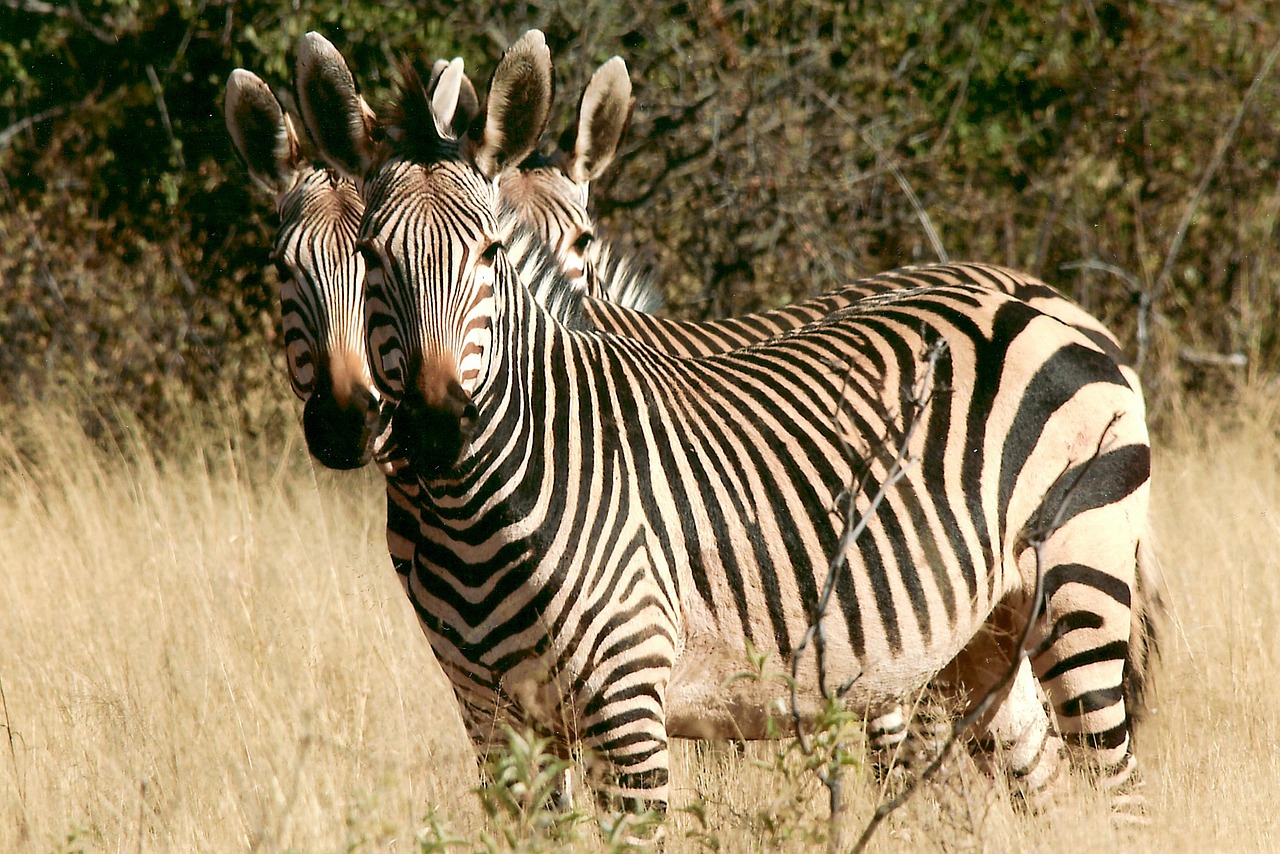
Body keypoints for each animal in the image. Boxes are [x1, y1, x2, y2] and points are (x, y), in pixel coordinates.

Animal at [302, 30, 1162, 819]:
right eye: (370, 256)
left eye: (487, 256)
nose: (434, 427)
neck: (471, 518)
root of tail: (1047, 304)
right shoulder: (496, 721)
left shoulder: (627, 701)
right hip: (979, 639)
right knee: (1042, 783)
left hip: (1080, 586)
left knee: (1118, 791)